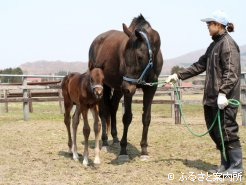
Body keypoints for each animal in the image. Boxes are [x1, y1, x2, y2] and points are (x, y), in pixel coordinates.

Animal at [88, 14, 163, 160]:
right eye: (124, 55)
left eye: (139, 56)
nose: (126, 88)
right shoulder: (128, 91)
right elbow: (127, 117)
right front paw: (123, 151)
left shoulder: (151, 88)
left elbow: (146, 118)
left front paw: (144, 150)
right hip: (106, 86)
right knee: (104, 111)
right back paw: (105, 142)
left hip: (118, 89)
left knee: (112, 107)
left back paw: (115, 138)